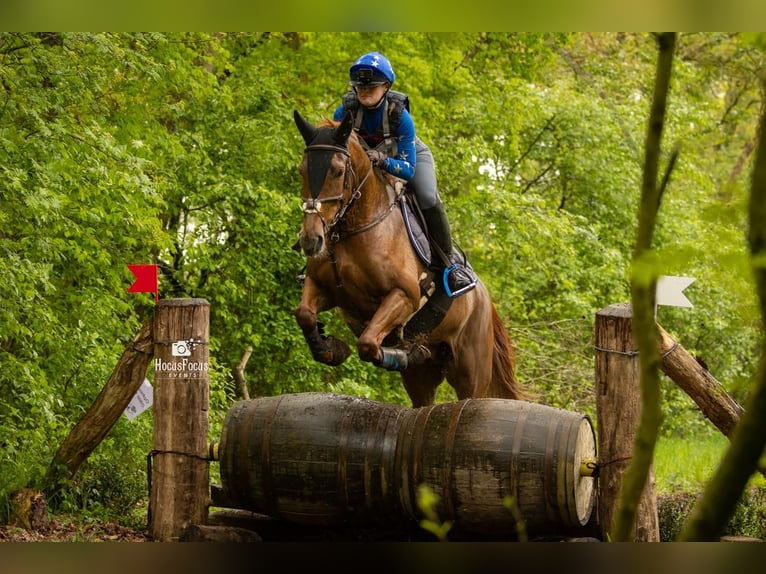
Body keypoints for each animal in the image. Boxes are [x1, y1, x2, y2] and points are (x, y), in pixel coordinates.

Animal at [292, 111, 520, 410]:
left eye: (338, 171)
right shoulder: (324, 288)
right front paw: (332, 349)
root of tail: (486, 300)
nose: (311, 239)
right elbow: (305, 314)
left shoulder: (405, 295)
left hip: (471, 373)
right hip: (422, 378)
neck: (354, 229)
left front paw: (402, 354)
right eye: (302, 170)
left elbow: (368, 343)